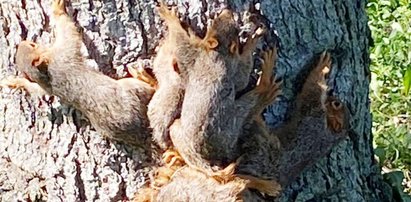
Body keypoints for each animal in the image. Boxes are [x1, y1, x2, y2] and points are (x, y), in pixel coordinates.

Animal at [1, 0, 156, 148]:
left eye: (31, 45)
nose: (22, 42)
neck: (46, 72)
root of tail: (140, 134)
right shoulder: (65, 53)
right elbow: (68, 31)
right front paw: (58, 9)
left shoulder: (47, 85)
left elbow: (34, 89)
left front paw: (16, 82)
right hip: (132, 91)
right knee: (149, 90)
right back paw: (145, 77)